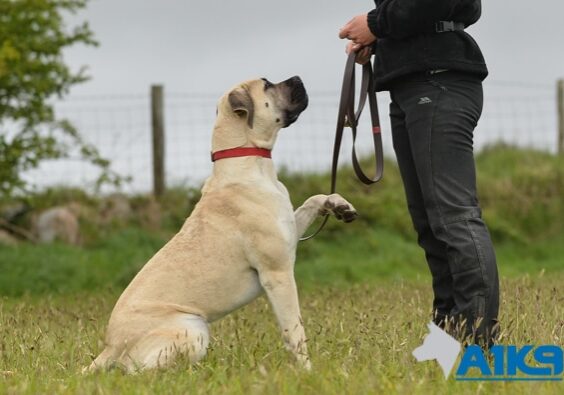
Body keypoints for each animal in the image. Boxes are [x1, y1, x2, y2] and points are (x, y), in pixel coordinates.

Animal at [83, 75, 356, 374]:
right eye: (267, 84)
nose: (297, 78)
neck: (248, 160)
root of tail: (109, 348)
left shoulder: (290, 230)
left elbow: (312, 200)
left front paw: (338, 204)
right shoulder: (278, 273)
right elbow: (294, 330)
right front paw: (307, 370)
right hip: (192, 327)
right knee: (139, 372)